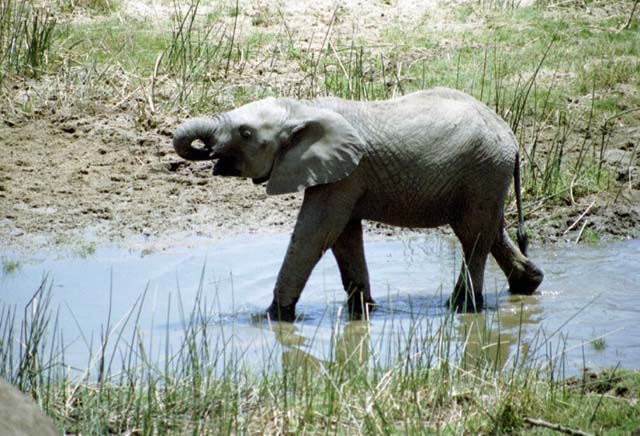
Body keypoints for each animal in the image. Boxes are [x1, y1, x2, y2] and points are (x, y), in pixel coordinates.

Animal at [172, 87, 544, 322]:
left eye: (245, 133)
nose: (206, 151)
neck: (305, 107)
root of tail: (510, 137)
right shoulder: (339, 175)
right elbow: (343, 237)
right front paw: (363, 312)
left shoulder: (345, 176)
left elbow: (316, 233)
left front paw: (272, 318)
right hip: (485, 177)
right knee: (491, 230)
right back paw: (528, 284)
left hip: (483, 170)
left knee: (473, 237)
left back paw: (463, 307)